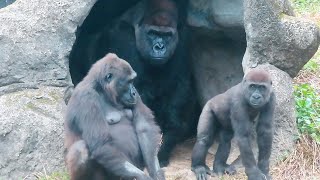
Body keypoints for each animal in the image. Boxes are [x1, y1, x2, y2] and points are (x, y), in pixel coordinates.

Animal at [69, 0, 200, 167]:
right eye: (152, 33)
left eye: (167, 35)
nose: (159, 47)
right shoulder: (123, 38)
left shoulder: (183, 38)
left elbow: (180, 86)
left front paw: (167, 142)